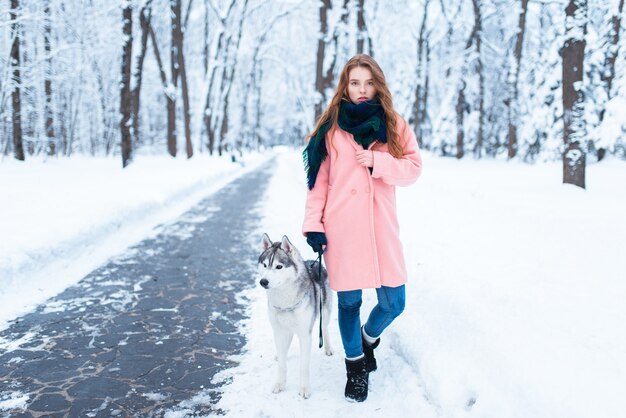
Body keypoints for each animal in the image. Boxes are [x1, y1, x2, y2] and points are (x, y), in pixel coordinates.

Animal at [258, 233, 334, 396]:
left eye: (279, 266)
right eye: (265, 265)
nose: (263, 281)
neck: (285, 302)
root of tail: (313, 262)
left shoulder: (305, 334)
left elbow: (303, 366)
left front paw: (304, 389)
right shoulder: (279, 330)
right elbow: (282, 364)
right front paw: (280, 384)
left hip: (324, 312)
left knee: (324, 328)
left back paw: (328, 348)